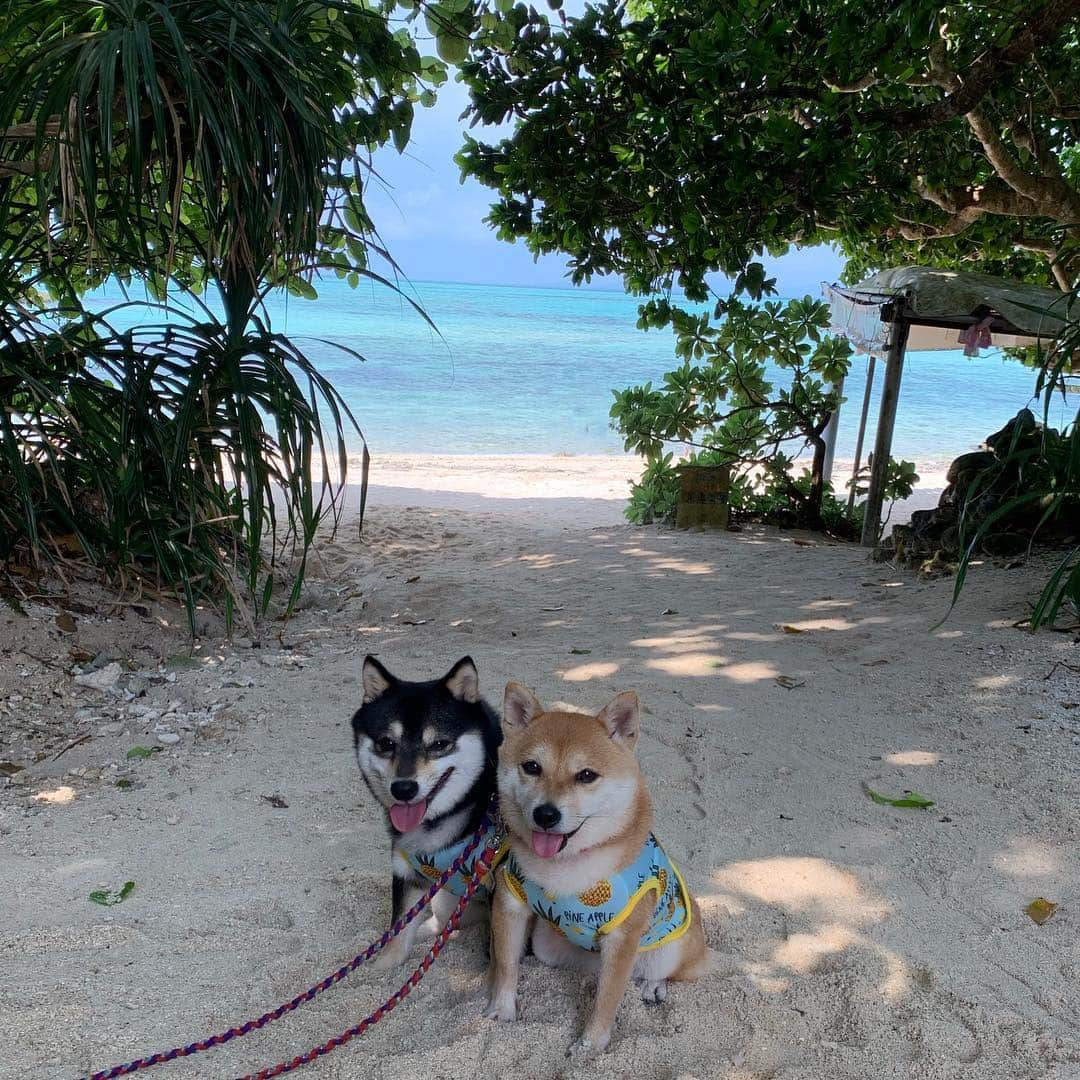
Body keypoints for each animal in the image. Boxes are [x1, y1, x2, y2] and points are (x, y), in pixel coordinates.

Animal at [349, 656, 501, 972]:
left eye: (439, 744)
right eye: (386, 743)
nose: (403, 788)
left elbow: (499, 954)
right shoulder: (408, 875)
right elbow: (396, 938)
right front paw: (378, 970)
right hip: (443, 898)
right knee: (442, 925)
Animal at [483, 682, 708, 1054]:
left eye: (586, 775)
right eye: (531, 767)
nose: (546, 814)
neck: (567, 866)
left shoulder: (623, 936)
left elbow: (609, 998)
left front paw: (590, 1046)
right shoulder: (510, 902)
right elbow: (505, 965)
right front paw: (501, 1010)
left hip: (670, 948)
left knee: (657, 971)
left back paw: (653, 985)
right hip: (547, 944)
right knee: (595, 971)